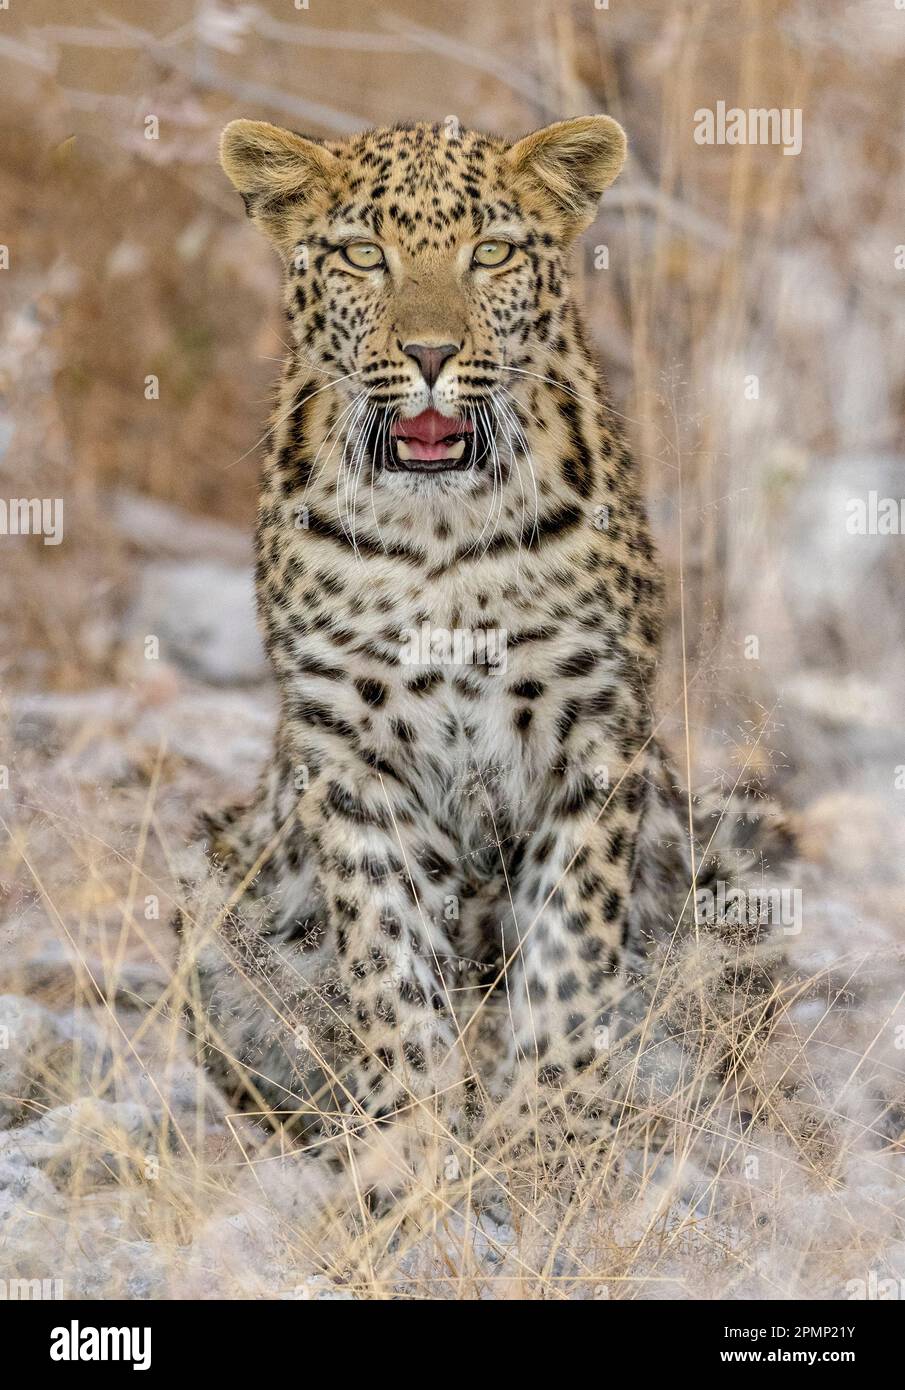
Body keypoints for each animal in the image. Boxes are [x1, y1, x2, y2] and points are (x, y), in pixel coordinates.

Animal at [171, 111, 795, 1195]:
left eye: (491, 252)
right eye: (363, 255)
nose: (430, 353)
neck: (439, 533)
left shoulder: (595, 738)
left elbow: (570, 951)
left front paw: (548, 1139)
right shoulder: (351, 756)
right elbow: (389, 962)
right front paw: (410, 1147)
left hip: (716, 856)